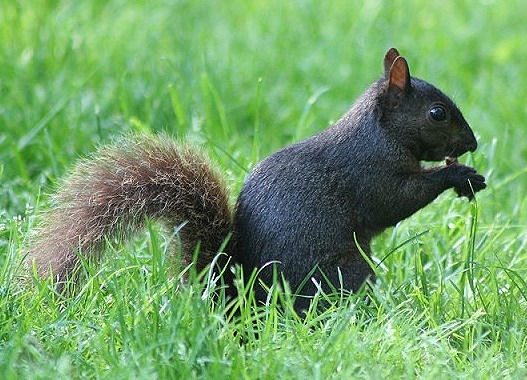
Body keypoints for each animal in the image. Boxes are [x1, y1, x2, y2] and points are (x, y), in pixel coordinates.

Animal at [26, 48, 484, 312]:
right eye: (438, 113)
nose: (473, 143)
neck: (380, 131)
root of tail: (242, 303)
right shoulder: (371, 173)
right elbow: (399, 200)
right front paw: (458, 173)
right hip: (347, 273)